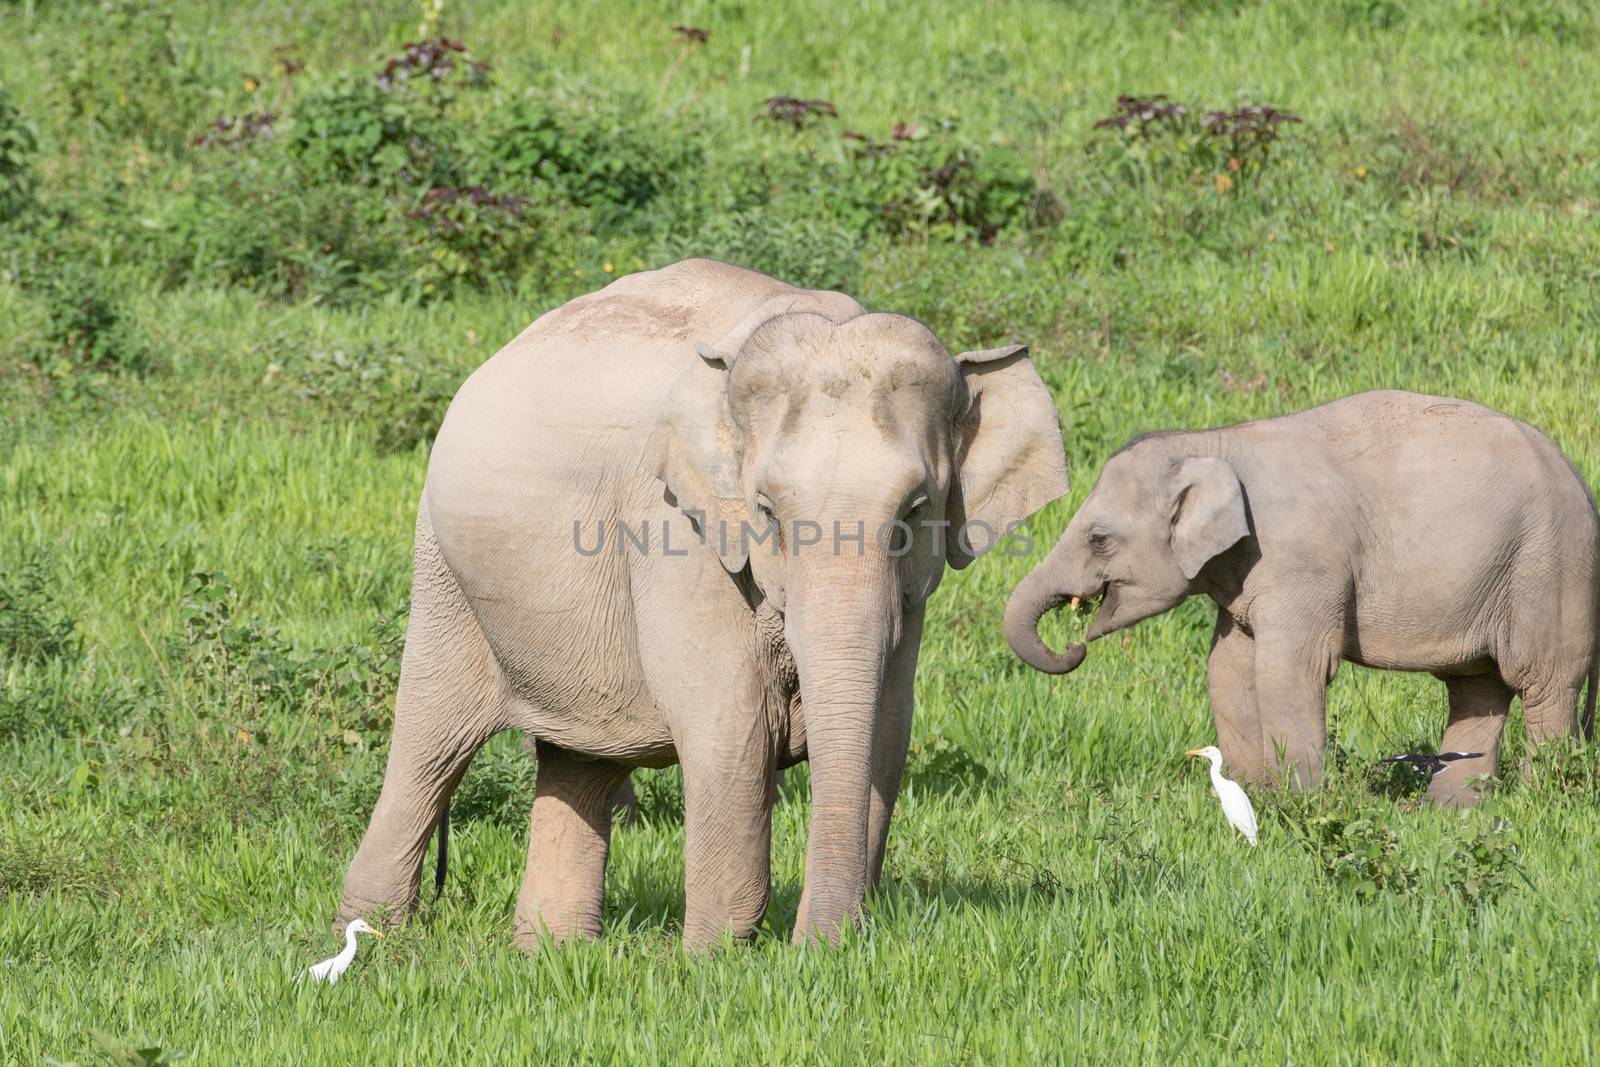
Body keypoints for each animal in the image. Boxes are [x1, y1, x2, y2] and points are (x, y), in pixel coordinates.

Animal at [331, 259, 1068, 940]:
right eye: (766, 510)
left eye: (915, 510)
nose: (819, 944)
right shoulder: (675, 534)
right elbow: (728, 729)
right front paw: (717, 956)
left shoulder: (911, 596)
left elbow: (886, 727)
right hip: (442, 571)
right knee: (430, 746)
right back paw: (371, 937)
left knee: (579, 762)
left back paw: (551, 952)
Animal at [1004, 388, 1593, 806]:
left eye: (1098, 538)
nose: (1075, 645)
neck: (1215, 442)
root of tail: (1582, 481)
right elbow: (1227, 666)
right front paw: (1249, 796)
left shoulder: (1301, 560)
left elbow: (1288, 669)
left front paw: (1300, 804)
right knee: (1477, 687)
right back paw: (1451, 812)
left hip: (1547, 569)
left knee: (1542, 682)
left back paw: (1542, 800)